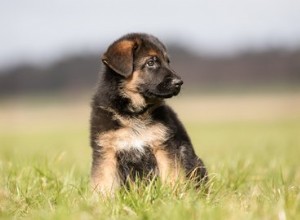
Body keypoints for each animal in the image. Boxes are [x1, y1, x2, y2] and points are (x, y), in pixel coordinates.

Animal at [89, 32, 206, 194]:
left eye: (167, 62)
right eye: (151, 62)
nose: (179, 82)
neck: (134, 114)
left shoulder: (163, 146)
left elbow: (171, 177)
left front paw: (172, 197)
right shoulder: (106, 151)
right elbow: (103, 184)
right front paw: (102, 200)